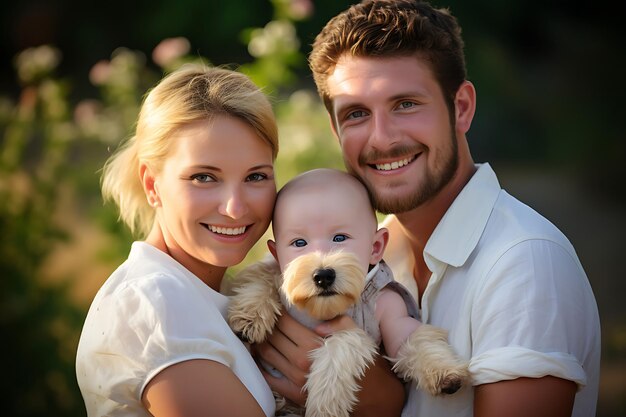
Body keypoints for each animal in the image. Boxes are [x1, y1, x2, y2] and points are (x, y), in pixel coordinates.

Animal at [228, 250, 468, 416]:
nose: (323, 274)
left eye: (340, 238)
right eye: (300, 242)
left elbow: (395, 340)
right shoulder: (275, 268)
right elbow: (264, 275)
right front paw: (251, 314)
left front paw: (325, 403)